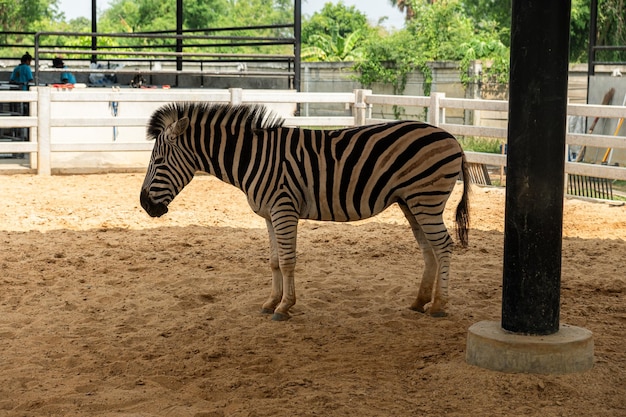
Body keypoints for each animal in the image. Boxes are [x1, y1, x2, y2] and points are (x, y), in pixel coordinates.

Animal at [138, 102, 468, 320]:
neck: (252, 158)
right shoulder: (269, 215)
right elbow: (273, 261)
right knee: (429, 249)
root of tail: (452, 138)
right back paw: (420, 301)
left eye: (159, 161)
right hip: (410, 202)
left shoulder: (284, 209)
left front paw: (285, 307)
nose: (144, 205)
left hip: (426, 199)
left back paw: (439, 306)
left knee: (444, 246)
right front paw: (271, 302)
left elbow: (287, 261)